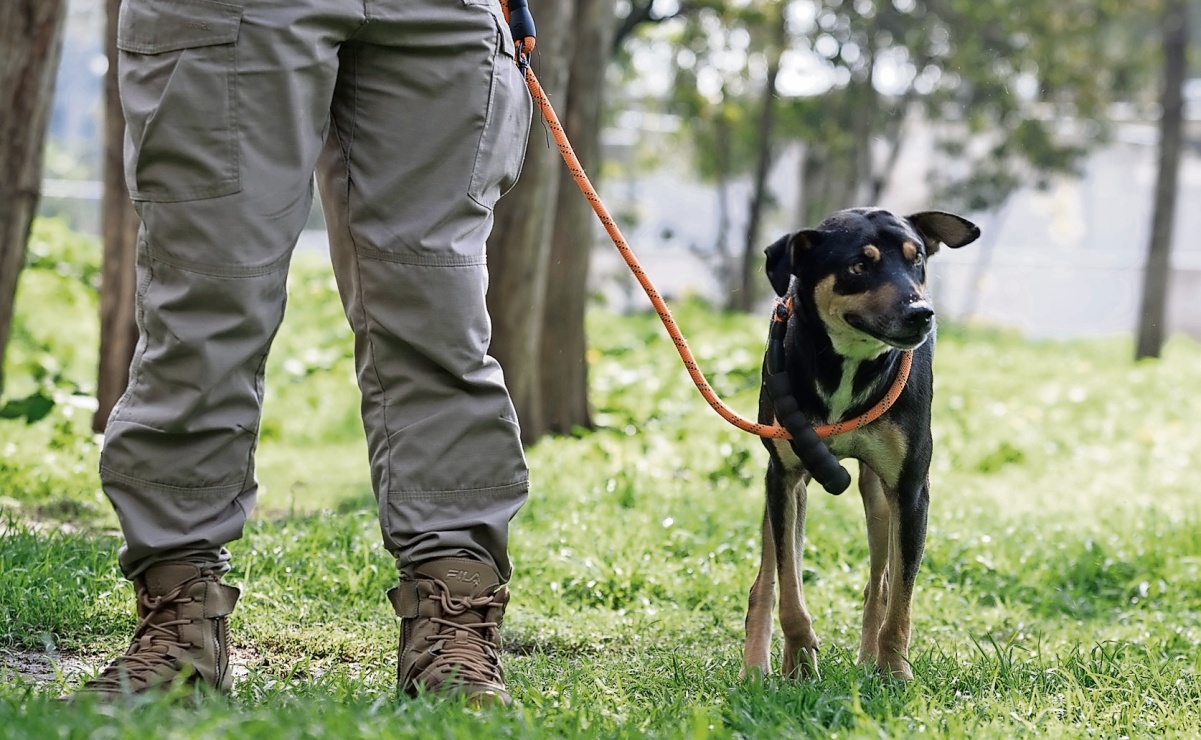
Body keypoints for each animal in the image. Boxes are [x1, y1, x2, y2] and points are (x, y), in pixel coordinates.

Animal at [739, 206, 984, 682]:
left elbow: (900, 599)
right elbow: (790, 586)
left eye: (917, 259)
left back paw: (871, 658)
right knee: (766, 580)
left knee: (881, 582)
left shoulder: (910, 490)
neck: (850, 366)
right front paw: (799, 661)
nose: (922, 312)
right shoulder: (786, 478)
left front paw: (894, 671)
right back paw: (755, 668)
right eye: (858, 266)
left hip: (879, 495)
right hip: (781, 489)